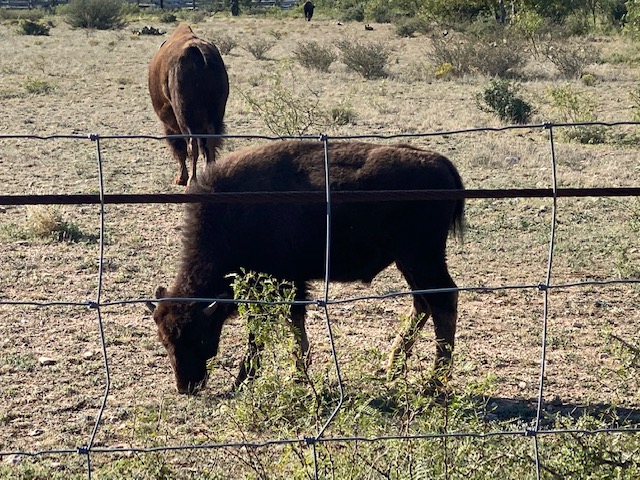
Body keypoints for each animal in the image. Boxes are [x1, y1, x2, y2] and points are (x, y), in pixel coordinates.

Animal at [148, 23, 229, 186]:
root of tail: (199, 52)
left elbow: (180, 149)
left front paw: (180, 178)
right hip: (216, 113)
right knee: (209, 143)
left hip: (184, 116)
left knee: (192, 145)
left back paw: (191, 181)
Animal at [149, 140, 464, 394]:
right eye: (164, 341)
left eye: (199, 337)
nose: (185, 387)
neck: (231, 217)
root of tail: (441, 163)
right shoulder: (290, 283)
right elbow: (294, 321)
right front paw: (296, 372)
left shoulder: (277, 283)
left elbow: (267, 327)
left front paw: (248, 379)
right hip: (409, 261)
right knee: (423, 303)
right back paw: (394, 367)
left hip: (422, 258)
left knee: (443, 300)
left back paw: (433, 381)